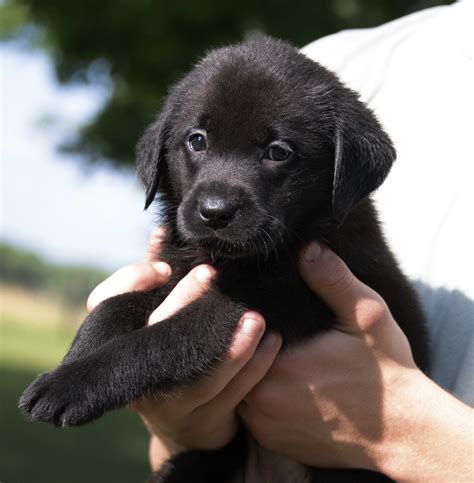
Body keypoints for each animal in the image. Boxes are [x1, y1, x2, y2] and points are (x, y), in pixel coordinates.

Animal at [20, 38, 428, 483]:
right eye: (197, 140)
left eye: (278, 152)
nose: (214, 212)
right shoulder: (177, 274)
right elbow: (114, 306)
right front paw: (75, 356)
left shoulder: (256, 303)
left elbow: (158, 341)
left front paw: (70, 385)